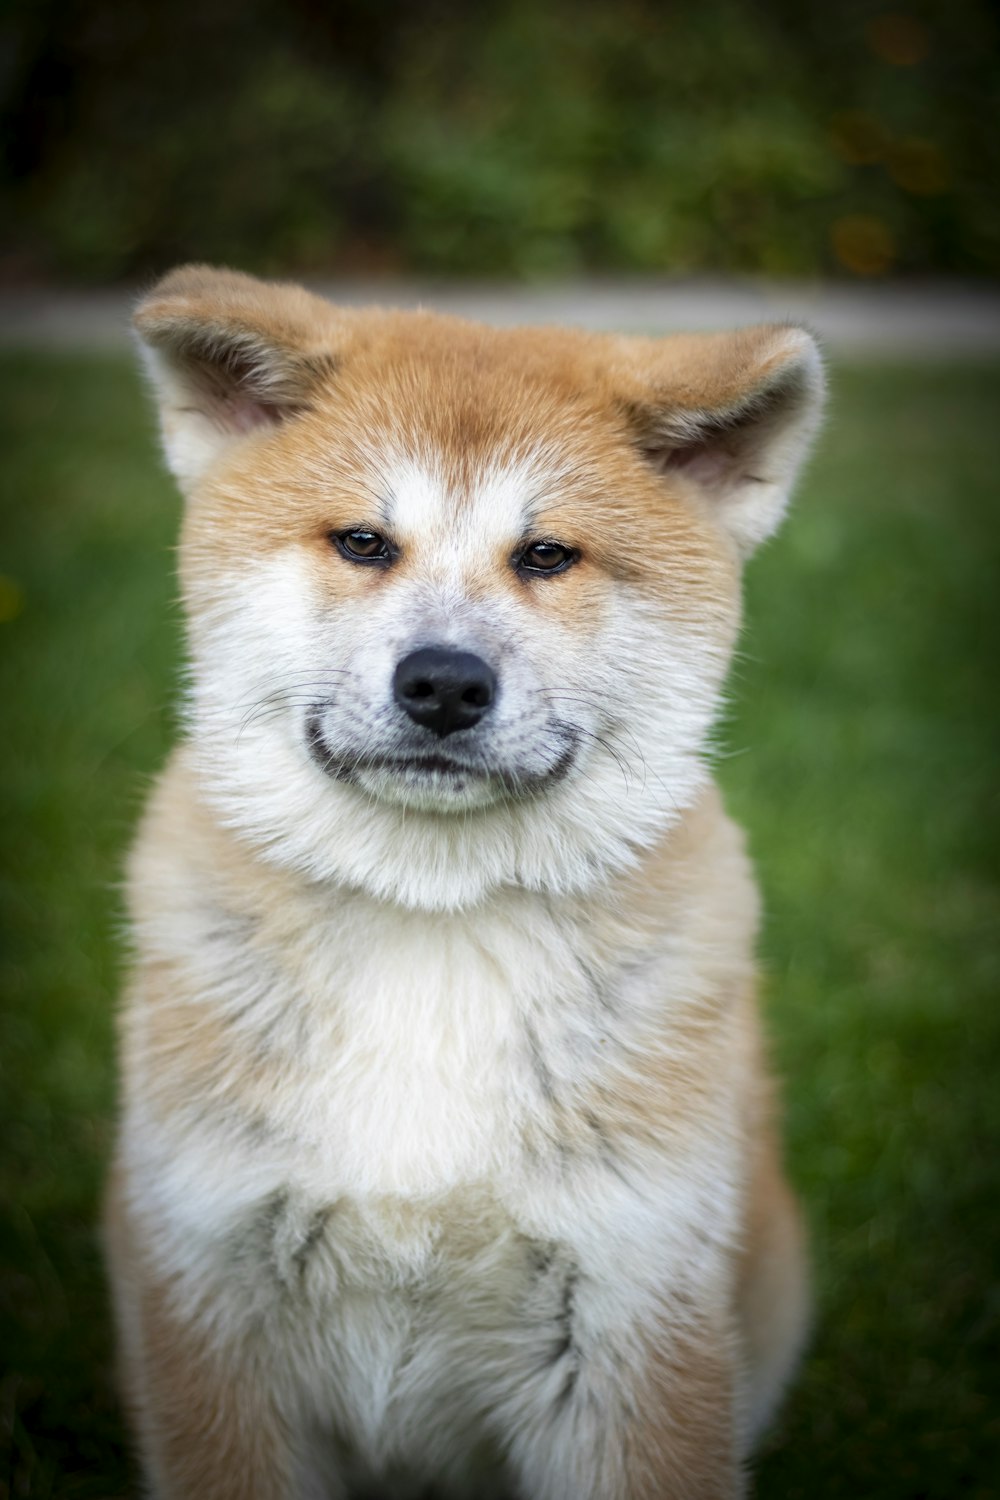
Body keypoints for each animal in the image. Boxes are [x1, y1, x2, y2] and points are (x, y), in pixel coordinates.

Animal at [105, 264, 827, 1494]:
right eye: (362, 541)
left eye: (546, 556)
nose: (443, 683)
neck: (430, 932)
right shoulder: (204, 1286)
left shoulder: (632, 1308)